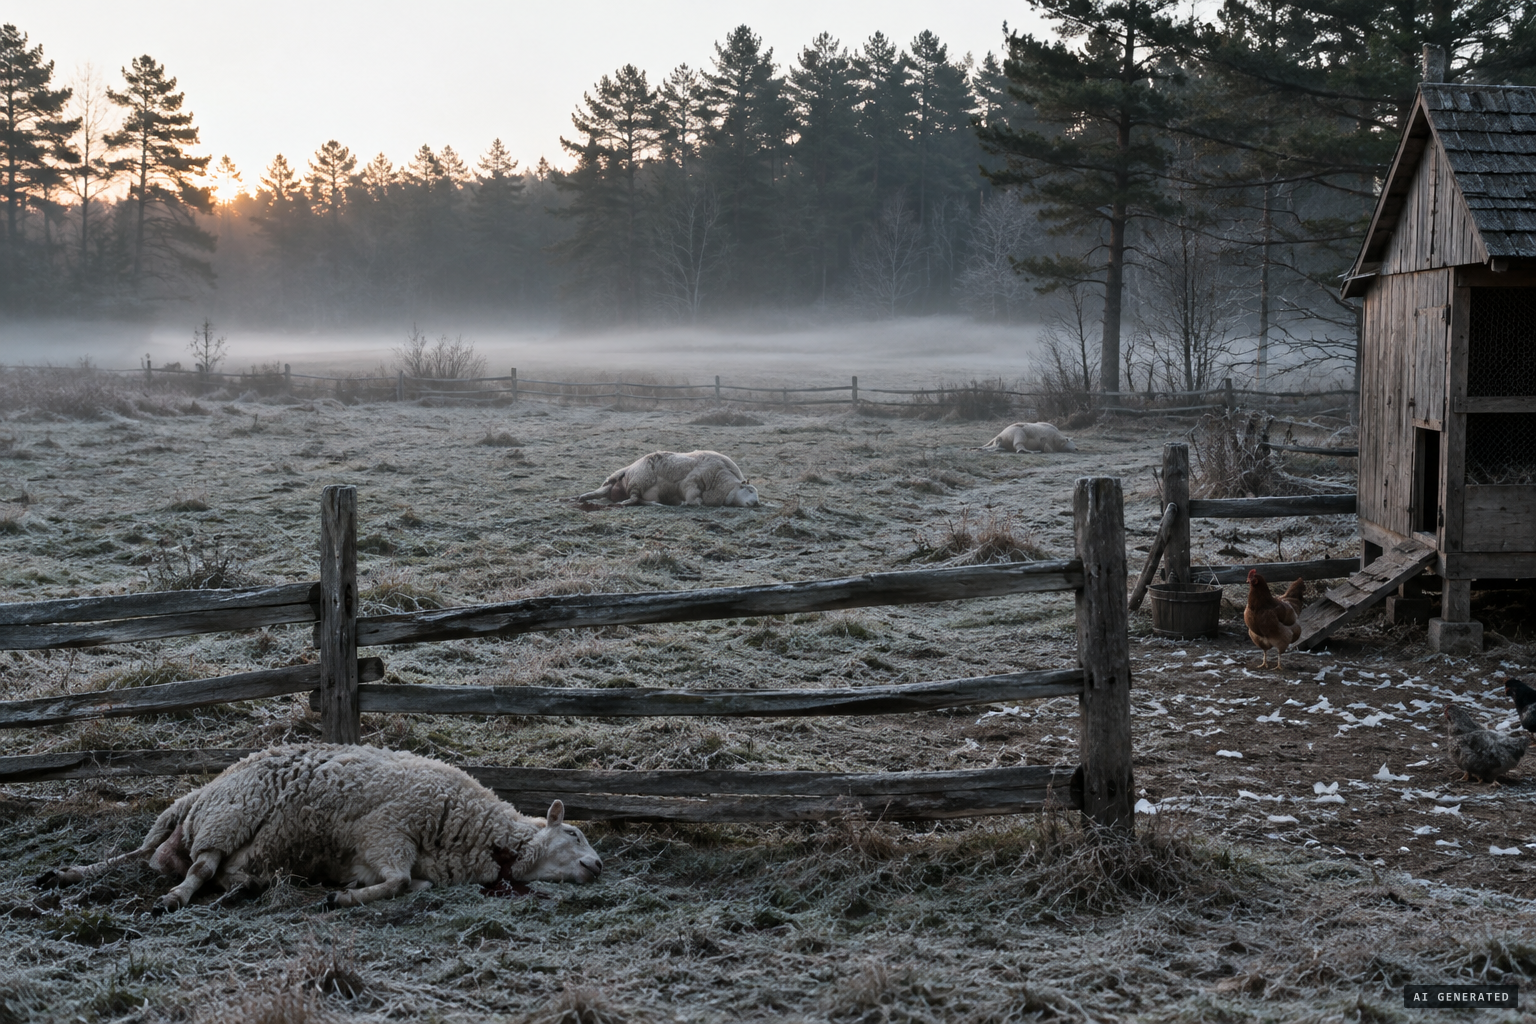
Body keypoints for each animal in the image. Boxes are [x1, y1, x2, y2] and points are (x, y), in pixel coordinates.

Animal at [35, 744, 602, 913]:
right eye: (574, 834)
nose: (598, 865)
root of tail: (199, 794)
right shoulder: (387, 831)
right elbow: (400, 881)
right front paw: (341, 899)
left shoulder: (381, 853)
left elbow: (409, 885)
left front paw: (347, 889)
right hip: (228, 817)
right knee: (195, 868)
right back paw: (173, 897)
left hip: (225, 833)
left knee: (171, 863)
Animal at [578, 449, 759, 507]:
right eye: (750, 490)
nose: (757, 503)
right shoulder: (691, 483)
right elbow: (695, 500)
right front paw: (687, 503)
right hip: (639, 480)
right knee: (633, 498)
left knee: (636, 499)